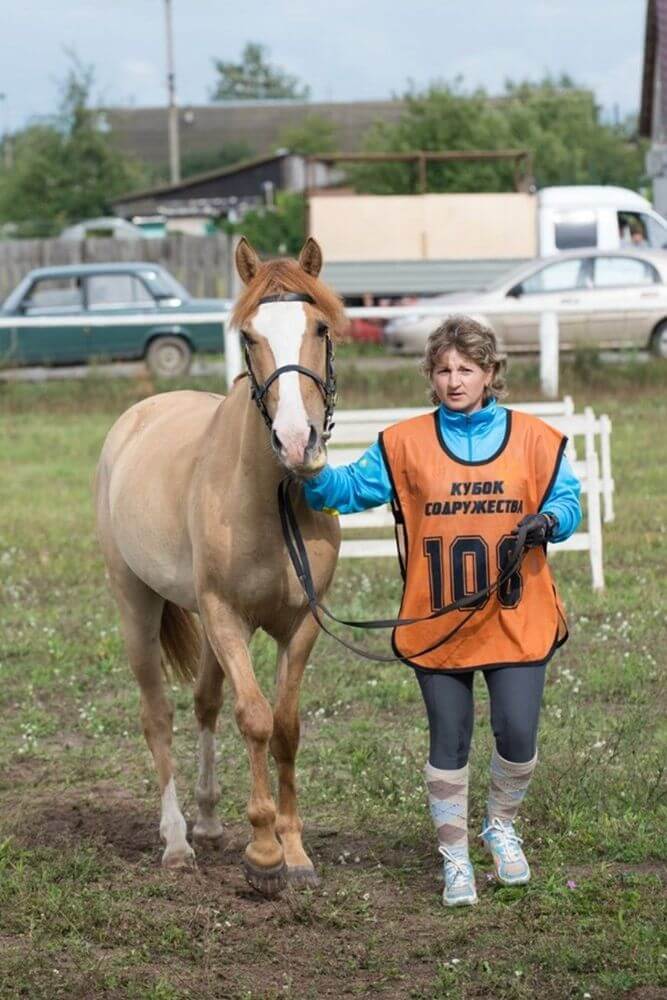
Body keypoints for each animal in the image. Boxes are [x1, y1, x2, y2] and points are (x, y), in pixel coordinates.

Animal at [96, 236, 348, 900]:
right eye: (249, 336)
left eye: (319, 326)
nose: (297, 442)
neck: (272, 495)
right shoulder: (227, 616)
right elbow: (254, 718)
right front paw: (262, 854)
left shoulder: (299, 625)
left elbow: (284, 725)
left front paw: (294, 850)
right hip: (137, 606)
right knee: (159, 716)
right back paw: (178, 843)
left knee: (205, 703)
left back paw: (208, 823)